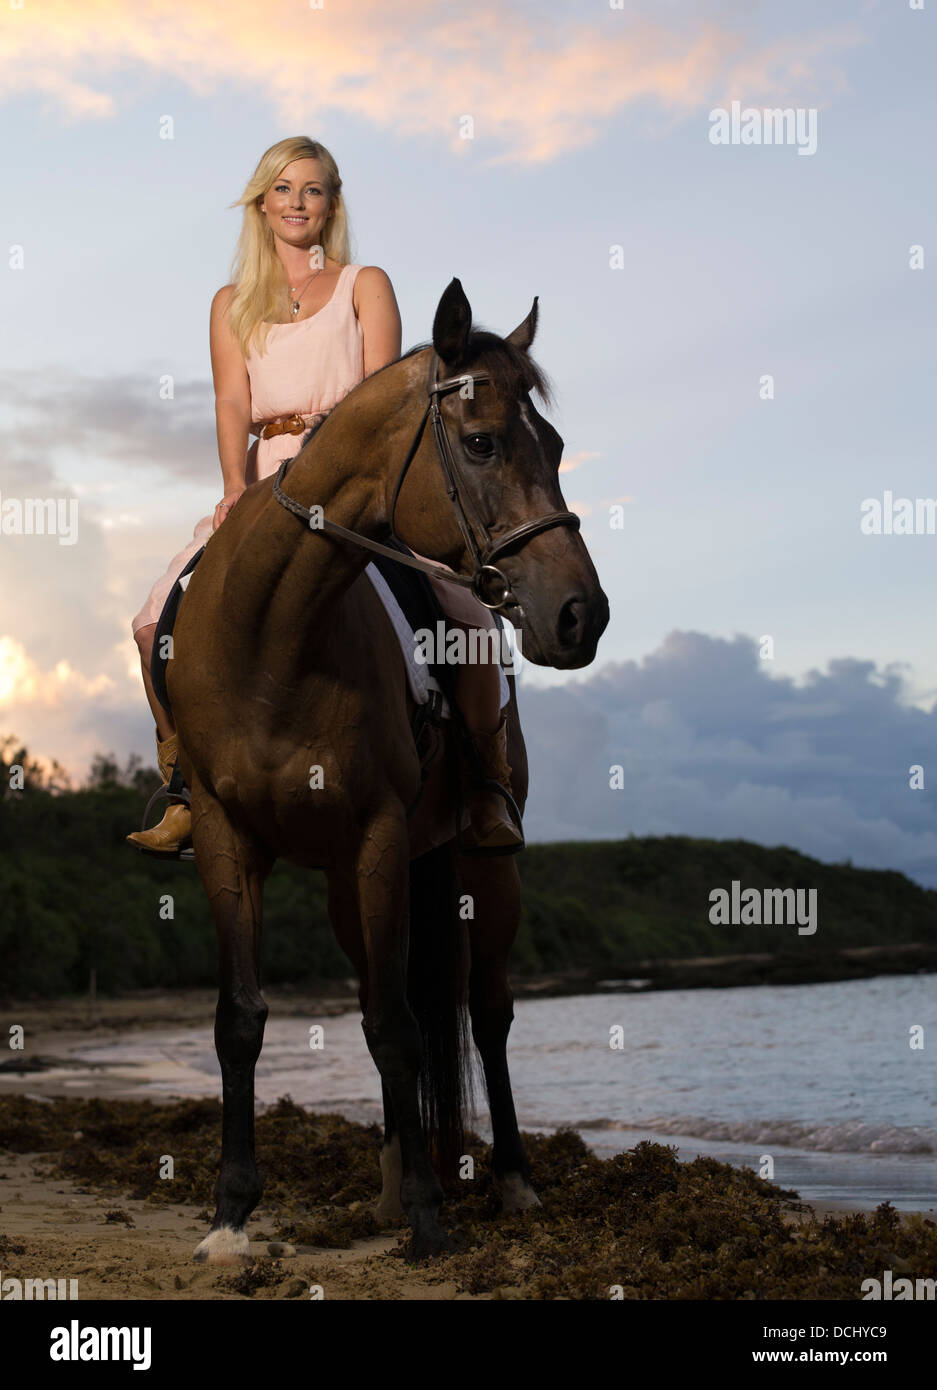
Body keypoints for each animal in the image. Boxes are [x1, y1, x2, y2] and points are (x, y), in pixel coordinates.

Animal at [168, 279, 606, 1262]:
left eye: (557, 447)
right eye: (481, 442)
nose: (581, 615)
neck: (276, 634)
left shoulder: (377, 834)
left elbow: (402, 1031)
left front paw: (429, 1218)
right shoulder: (225, 837)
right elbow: (242, 1019)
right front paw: (229, 1216)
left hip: (480, 866)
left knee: (485, 1011)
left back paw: (508, 1180)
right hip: (350, 883)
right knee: (388, 994)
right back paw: (387, 1185)